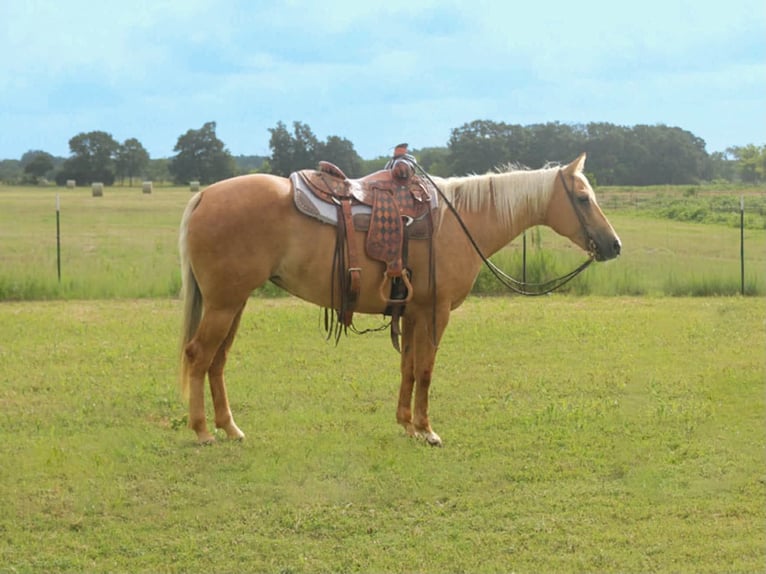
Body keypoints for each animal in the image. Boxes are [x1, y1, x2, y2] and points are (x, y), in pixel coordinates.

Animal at [177, 152, 621, 446]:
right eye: (583, 198)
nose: (613, 245)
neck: (460, 220)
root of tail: (205, 196)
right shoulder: (435, 313)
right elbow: (425, 370)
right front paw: (427, 430)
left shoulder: (411, 312)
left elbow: (407, 368)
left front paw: (406, 423)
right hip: (224, 304)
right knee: (198, 355)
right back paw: (202, 431)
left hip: (235, 302)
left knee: (217, 360)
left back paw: (230, 428)